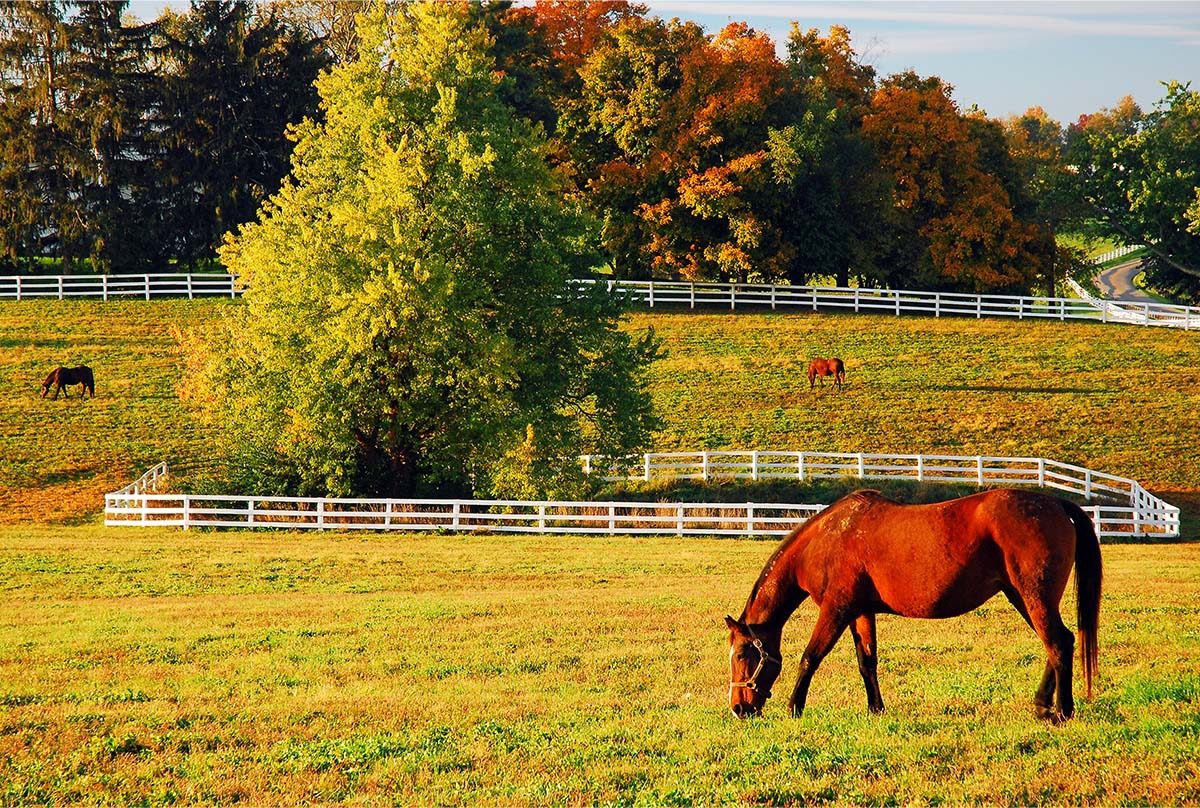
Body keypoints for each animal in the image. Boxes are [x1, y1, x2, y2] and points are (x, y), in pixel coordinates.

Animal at [726, 488, 1101, 723]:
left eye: (743, 655)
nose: (739, 708)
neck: (828, 539)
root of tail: (1056, 503)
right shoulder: (861, 612)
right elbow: (867, 662)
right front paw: (876, 709)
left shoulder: (836, 610)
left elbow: (810, 657)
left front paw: (794, 707)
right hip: (1024, 597)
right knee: (1059, 642)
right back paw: (1043, 705)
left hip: (1034, 597)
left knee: (1057, 643)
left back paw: (1062, 711)